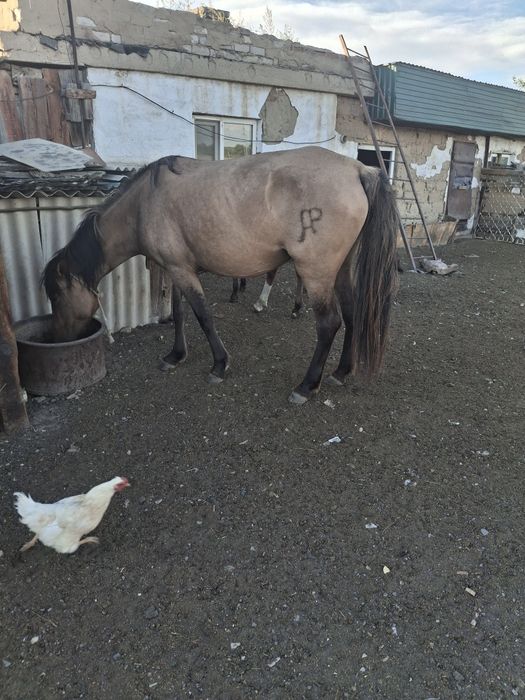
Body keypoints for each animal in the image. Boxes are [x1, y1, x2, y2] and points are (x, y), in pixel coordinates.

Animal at [43, 146, 399, 404]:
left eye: (56, 294)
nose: (59, 337)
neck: (145, 203)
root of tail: (359, 170)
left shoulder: (181, 271)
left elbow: (203, 316)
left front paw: (218, 364)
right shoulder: (177, 269)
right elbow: (180, 313)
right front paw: (176, 355)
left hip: (316, 274)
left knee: (329, 324)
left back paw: (306, 385)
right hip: (339, 272)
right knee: (351, 314)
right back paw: (341, 371)